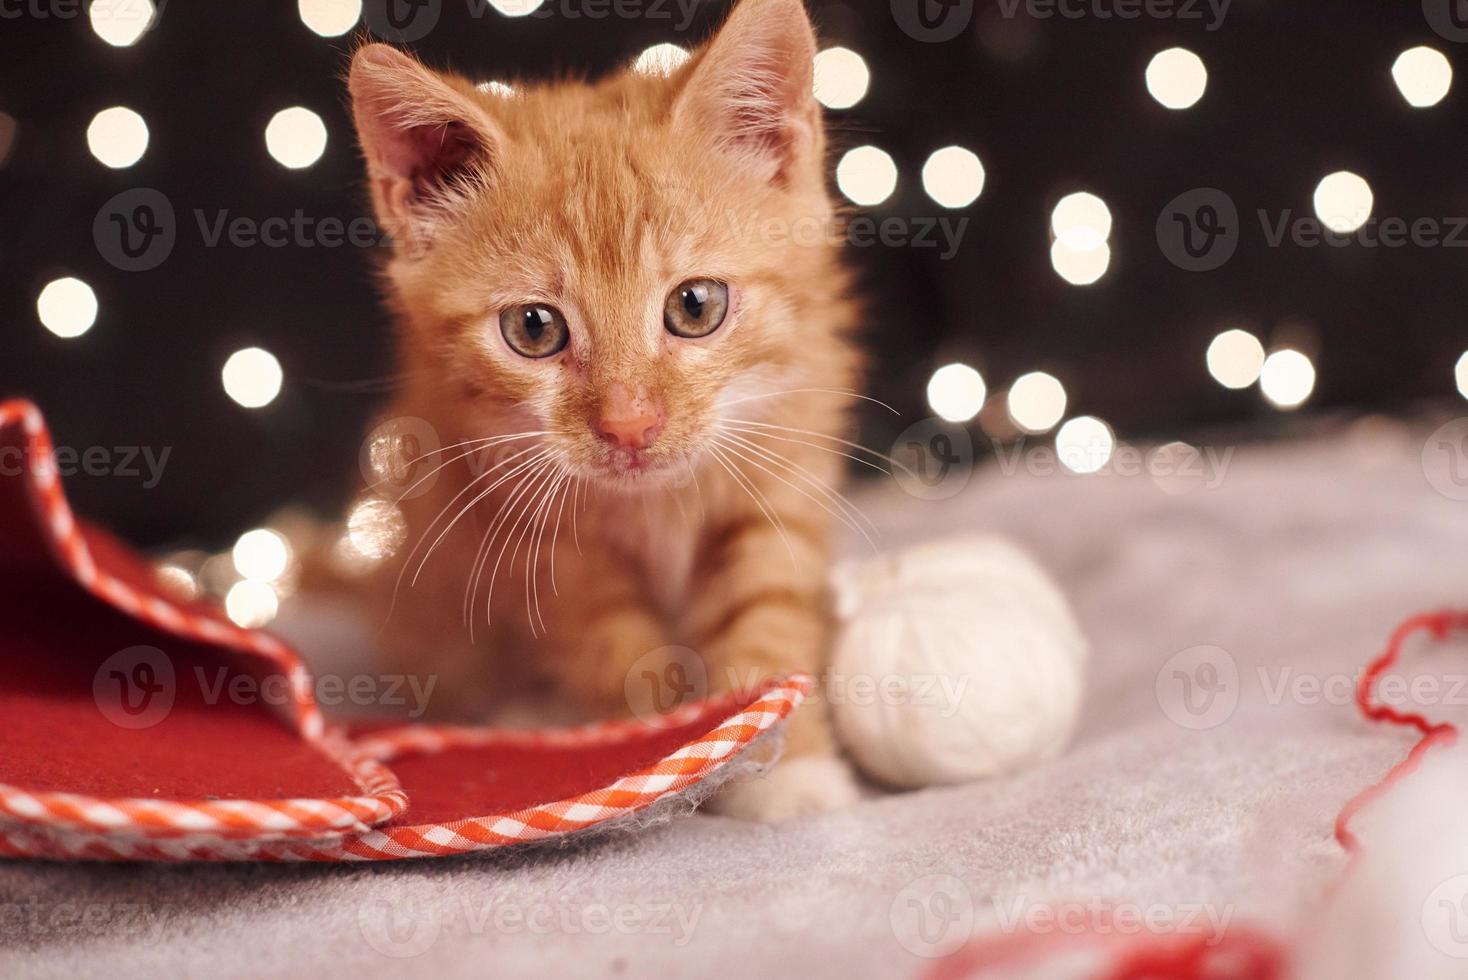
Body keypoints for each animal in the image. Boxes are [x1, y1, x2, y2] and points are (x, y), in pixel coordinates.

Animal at [349, 0, 863, 821]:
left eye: (695, 306)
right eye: (533, 328)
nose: (629, 424)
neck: (657, 503)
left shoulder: (783, 465)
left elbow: (770, 610)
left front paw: (784, 766)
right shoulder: (529, 526)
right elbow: (612, 647)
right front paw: (662, 755)